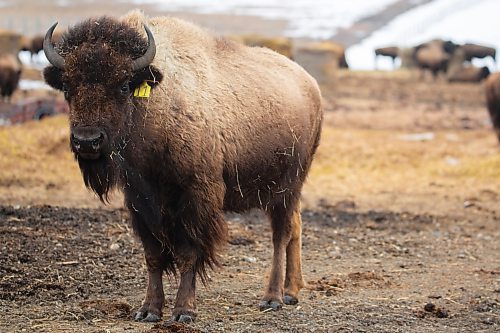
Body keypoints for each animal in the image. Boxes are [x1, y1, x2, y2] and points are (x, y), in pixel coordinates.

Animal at [44, 11, 324, 322]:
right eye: (67, 87)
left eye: (123, 85)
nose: (87, 141)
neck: (157, 103)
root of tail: (311, 85)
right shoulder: (140, 201)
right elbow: (153, 255)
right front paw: (149, 310)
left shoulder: (195, 198)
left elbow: (188, 253)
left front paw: (183, 311)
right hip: (286, 193)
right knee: (295, 229)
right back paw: (291, 292)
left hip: (286, 189)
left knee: (280, 236)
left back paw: (272, 297)